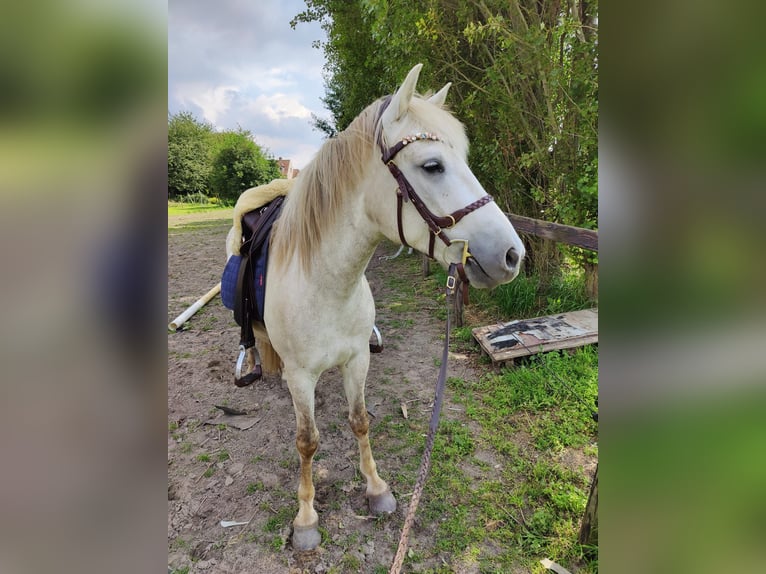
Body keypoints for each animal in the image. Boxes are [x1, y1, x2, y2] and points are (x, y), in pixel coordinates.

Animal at [228, 64, 528, 552]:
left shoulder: (357, 360)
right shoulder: (301, 375)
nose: (512, 254)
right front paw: (306, 518)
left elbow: (360, 422)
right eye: (432, 166)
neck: (327, 285)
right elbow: (307, 441)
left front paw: (376, 489)